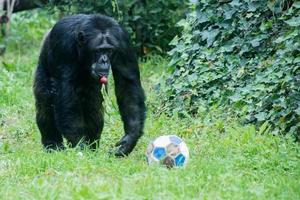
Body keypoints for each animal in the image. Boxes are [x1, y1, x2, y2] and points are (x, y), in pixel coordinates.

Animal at [33, 14, 146, 157]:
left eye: (109, 50)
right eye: (99, 50)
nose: (104, 60)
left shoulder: (123, 42)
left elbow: (127, 82)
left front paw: (129, 139)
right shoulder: (62, 45)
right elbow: (65, 90)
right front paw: (79, 144)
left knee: (93, 104)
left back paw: (92, 146)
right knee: (45, 100)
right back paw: (53, 146)